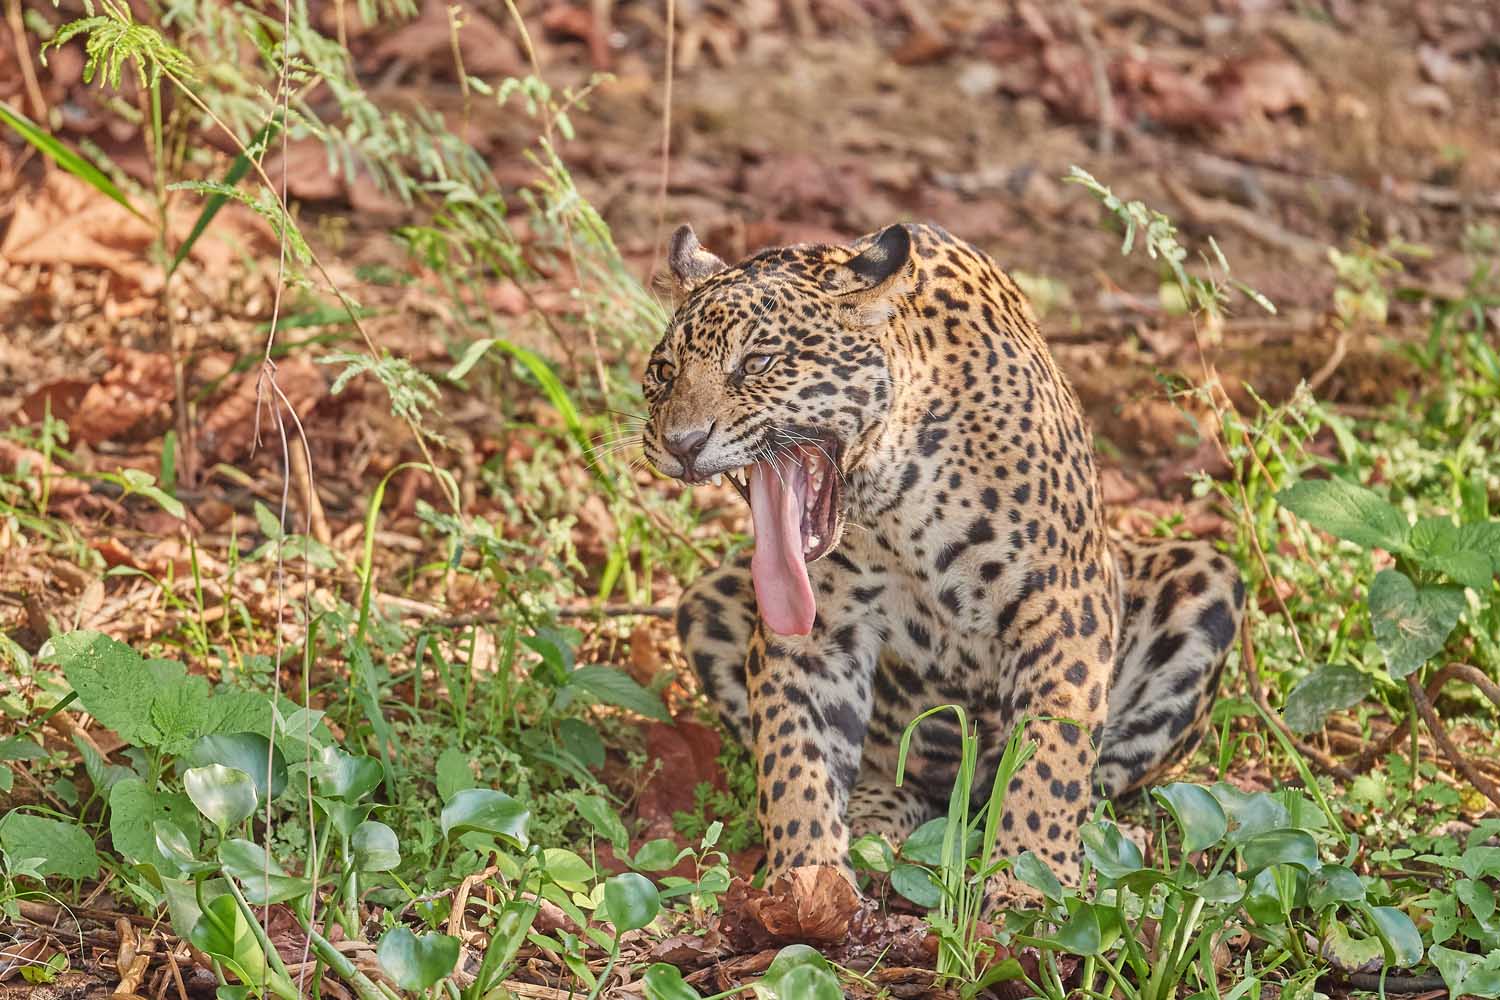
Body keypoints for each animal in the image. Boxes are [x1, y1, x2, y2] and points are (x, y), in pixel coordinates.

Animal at [641, 222, 1245, 899]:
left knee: (1103, 769)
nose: (682, 444)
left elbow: (1053, 749)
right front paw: (807, 882)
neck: (892, 499)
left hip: (1204, 581)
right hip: (705, 601)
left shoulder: (1062, 603)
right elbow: (793, 760)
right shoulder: (814, 637)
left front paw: (1030, 875)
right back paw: (880, 814)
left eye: (759, 364)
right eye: (663, 372)